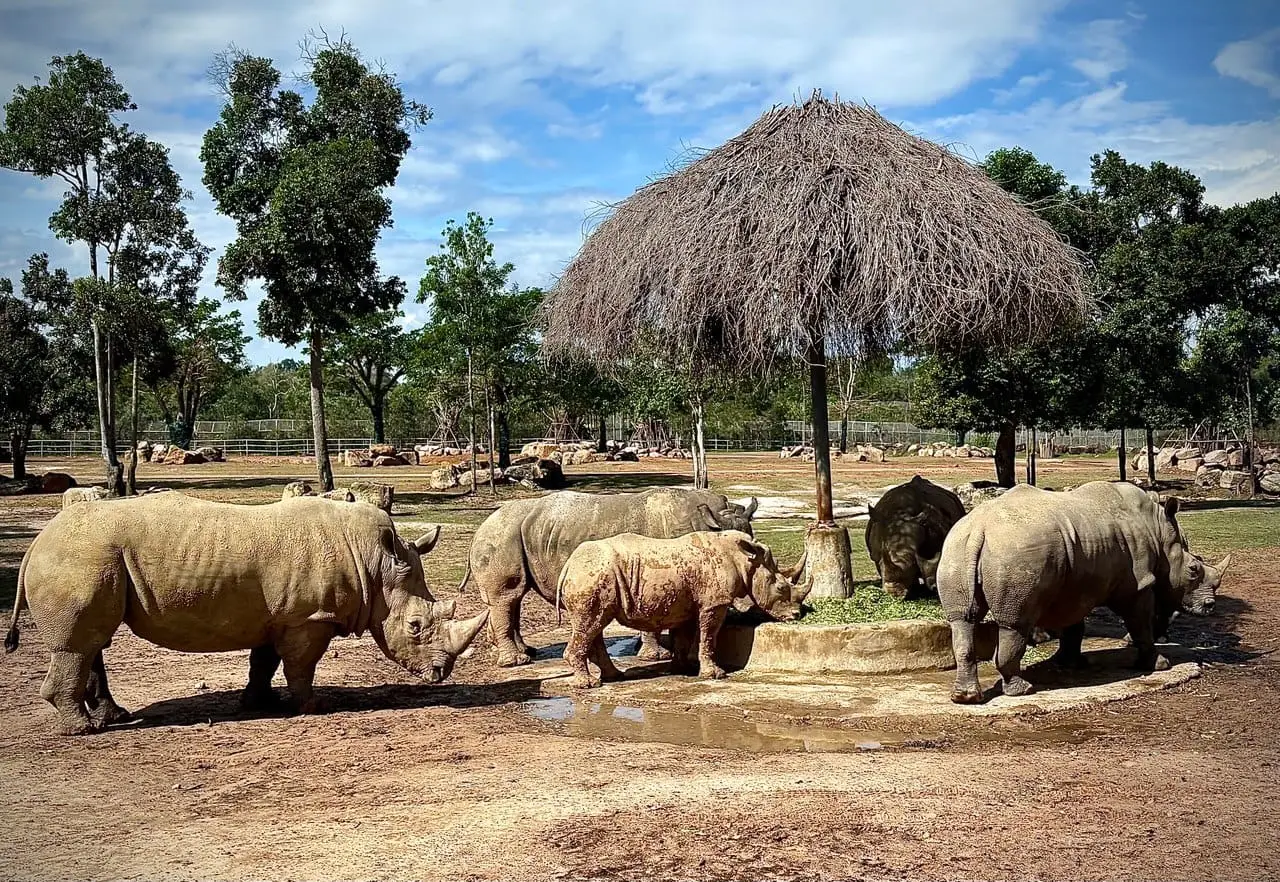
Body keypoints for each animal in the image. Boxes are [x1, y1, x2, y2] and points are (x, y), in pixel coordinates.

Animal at [5, 493, 488, 735]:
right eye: (415, 627)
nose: (440, 674)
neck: (375, 562)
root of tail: (38, 542)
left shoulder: (278, 617)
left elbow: (264, 661)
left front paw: (258, 703)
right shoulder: (307, 618)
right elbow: (300, 665)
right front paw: (314, 707)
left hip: (91, 558)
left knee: (93, 642)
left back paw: (114, 718)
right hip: (81, 558)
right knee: (78, 644)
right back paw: (83, 731)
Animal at [465, 488, 759, 667]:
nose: (749, 611)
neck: (708, 523)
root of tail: (482, 525)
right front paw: (655, 657)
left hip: (513, 534)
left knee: (513, 598)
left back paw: (527, 653)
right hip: (501, 536)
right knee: (507, 596)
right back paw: (517, 662)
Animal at [554, 530, 801, 688]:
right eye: (780, 588)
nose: (796, 615)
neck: (745, 560)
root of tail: (568, 565)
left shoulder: (687, 604)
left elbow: (684, 637)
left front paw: (682, 668)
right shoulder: (714, 603)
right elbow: (709, 636)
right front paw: (715, 674)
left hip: (594, 577)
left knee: (594, 624)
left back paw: (614, 676)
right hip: (592, 576)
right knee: (591, 624)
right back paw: (589, 684)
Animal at [938, 481, 1208, 704]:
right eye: (1193, 570)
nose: (1209, 605)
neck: (1158, 530)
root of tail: (978, 530)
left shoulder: (1075, 582)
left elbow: (1073, 624)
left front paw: (1072, 664)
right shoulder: (1138, 584)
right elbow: (1141, 624)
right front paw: (1160, 664)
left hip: (956, 549)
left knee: (962, 620)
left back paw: (965, 698)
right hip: (1014, 553)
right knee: (1014, 623)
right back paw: (1023, 690)